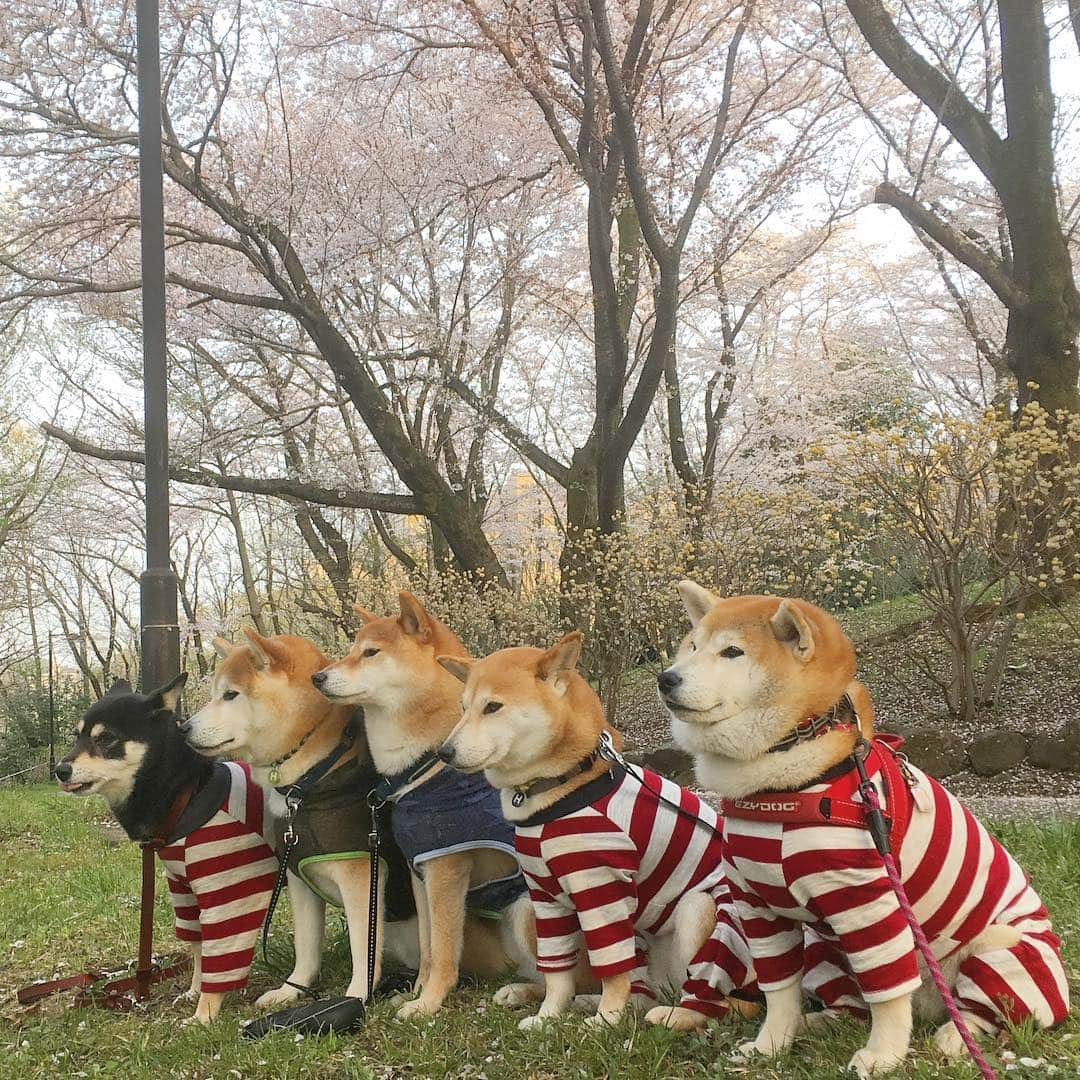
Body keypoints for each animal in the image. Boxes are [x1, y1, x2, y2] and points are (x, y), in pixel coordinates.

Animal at [313, 596, 540, 1015]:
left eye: (370, 653)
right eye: (351, 650)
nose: (317, 677)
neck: (424, 765)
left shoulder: (447, 869)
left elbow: (446, 946)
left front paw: (429, 1003)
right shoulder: (420, 869)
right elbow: (428, 945)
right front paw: (417, 990)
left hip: (524, 910)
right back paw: (518, 991)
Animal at [436, 630, 760, 1028]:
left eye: (492, 707)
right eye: (463, 708)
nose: (444, 752)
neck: (561, 788)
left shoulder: (602, 892)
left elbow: (612, 970)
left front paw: (606, 1019)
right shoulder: (546, 896)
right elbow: (557, 973)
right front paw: (548, 1018)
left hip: (699, 910)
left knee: (718, 999)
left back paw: (670, 1015)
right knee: (629, 989)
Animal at [656, 587, 1071, 1075]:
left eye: (732, 652)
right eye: (692, 647)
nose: (665, 678)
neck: (780, 786)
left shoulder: (865, 902)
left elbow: (887, 997)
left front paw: (882, 1055)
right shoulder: (758, 904)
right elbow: (779, 992)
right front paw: (771, 1045)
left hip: (1000, 950)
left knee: (976, 1013)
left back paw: (952, 1037)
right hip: (822, 946)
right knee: (852, 1007)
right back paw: (816, 1023)